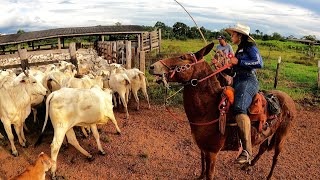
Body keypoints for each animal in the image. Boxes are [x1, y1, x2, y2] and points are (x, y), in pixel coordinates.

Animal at [149, 42, 296, 180]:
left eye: (182, 57)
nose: (152, 66)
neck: (208, 110)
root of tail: (288, 99)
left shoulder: (212, 153)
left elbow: (210, 174)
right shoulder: (203, 149)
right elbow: (202, 164)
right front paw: (200, 176)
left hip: (281, 136)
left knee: (276, 157)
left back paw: (268, 175)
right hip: (265, 133)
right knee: (263, 148)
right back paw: (248, 165)